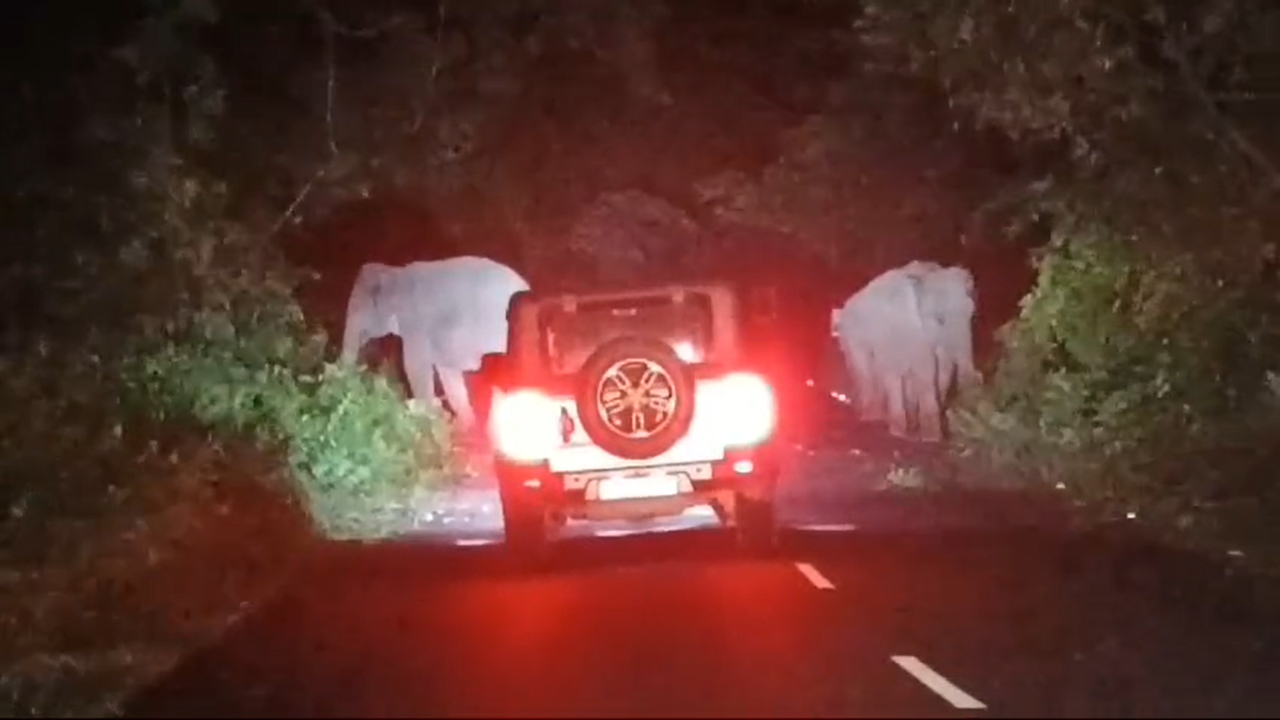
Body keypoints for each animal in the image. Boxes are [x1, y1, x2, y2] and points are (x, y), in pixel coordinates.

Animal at [340, 254, 529, 427]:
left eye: (358, 309)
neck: (395, 272)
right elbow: (448, 375)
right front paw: (466, 428)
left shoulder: (416, 324)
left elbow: (415, 367)